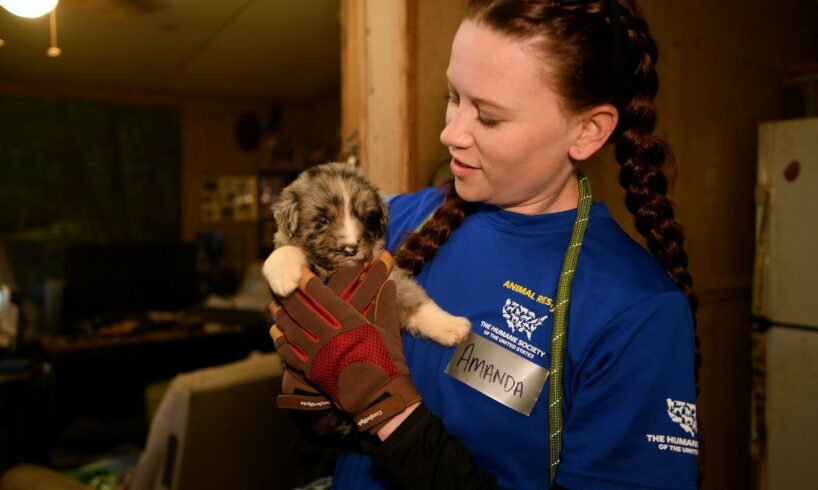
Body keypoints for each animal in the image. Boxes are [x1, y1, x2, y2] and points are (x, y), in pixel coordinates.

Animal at [264, 161, 468, 344]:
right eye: (323, 220)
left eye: (364, 218)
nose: (350, 249)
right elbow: (287, 249)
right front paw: (282, 275)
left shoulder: (387, 278)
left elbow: (414, 298)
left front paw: (451, 325)